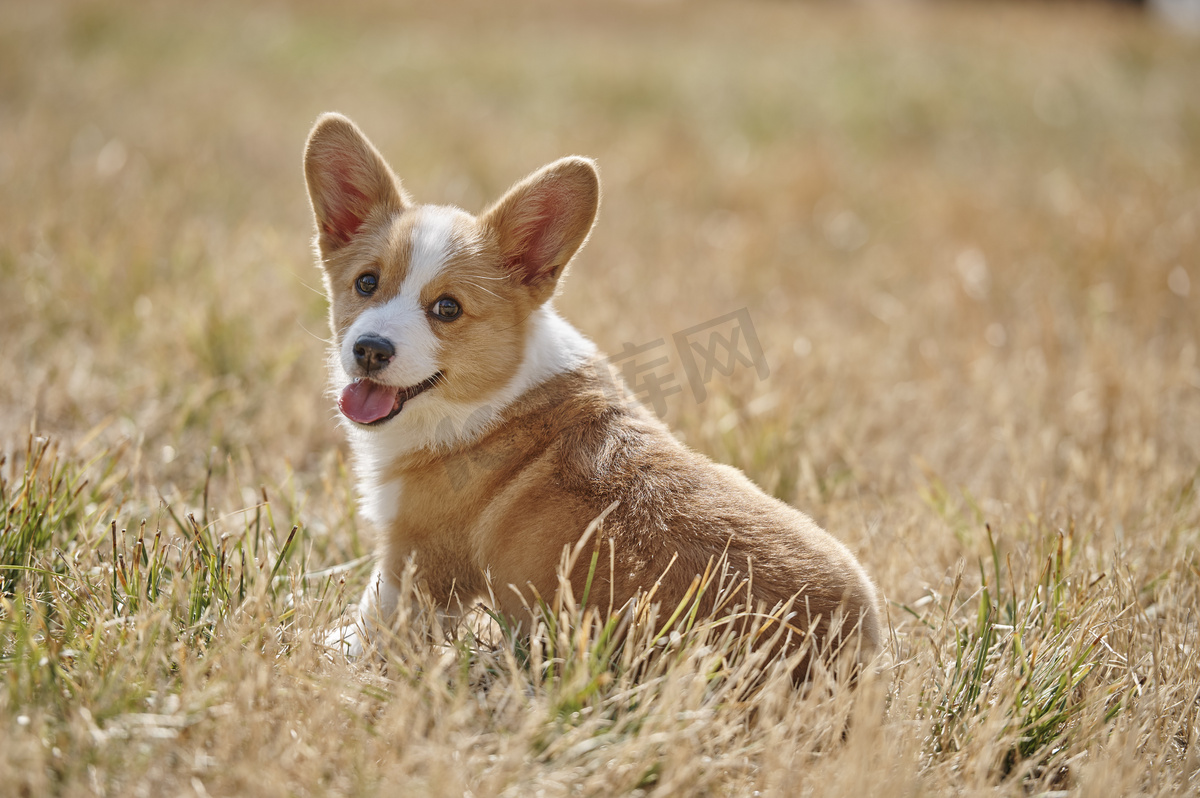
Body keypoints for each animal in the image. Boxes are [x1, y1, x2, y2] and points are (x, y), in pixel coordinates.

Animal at [304, 112, 878, 667]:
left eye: (447, 308)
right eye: (366, 283)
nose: (370, 350)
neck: (488, 396)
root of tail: (854, 663)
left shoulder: (416, 564)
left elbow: (364, 629)